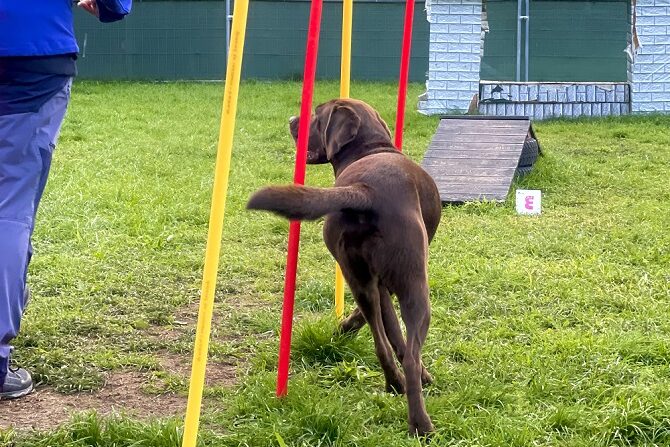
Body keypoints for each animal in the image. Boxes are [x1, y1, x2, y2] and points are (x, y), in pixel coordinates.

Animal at [247, 99, 440, 438]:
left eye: (316, 116)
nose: (292, 119)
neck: (370, 148)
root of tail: (365, 191)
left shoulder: (375, 285)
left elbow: (389, 332)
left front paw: (343, 328)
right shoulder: (388, 284)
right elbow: (398, 338)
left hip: (356, 276)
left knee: (381, 344)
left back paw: (395, 385)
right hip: (414, 284)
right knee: (412, 358)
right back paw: (421, 423)